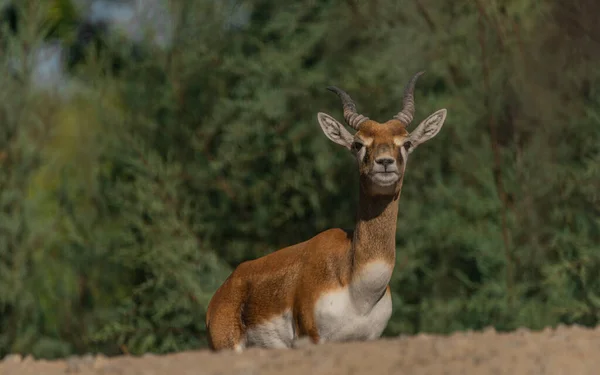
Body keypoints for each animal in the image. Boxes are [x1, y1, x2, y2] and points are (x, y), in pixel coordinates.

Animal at [206, 70, 446, 352]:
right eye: (357, 144)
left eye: (407, 143)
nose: (384, 163)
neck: (358, 288)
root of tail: (221, 294)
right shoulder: (312, 338)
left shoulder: (368, 339)